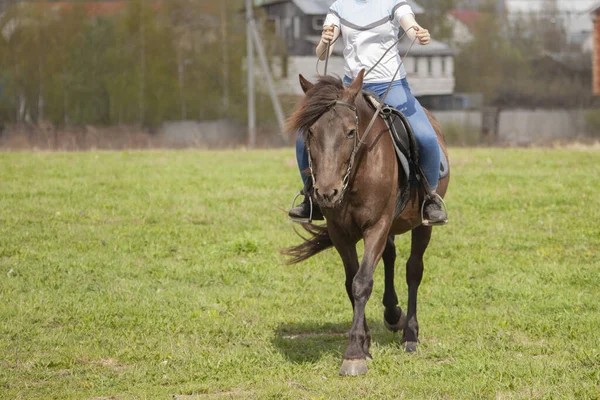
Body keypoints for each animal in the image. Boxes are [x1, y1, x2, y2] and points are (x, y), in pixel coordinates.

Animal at [284, 69, 448, 376]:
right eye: (310, 132)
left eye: (350, 131)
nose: (327, 192)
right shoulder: (340, 233)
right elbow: (352, 282)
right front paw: (365, 344)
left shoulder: (376, 226)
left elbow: (362, 282)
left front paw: (354, 354)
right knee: (390, 257)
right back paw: (393, 314)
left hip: (422, 226)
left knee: (413, 270)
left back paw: (410, 334)